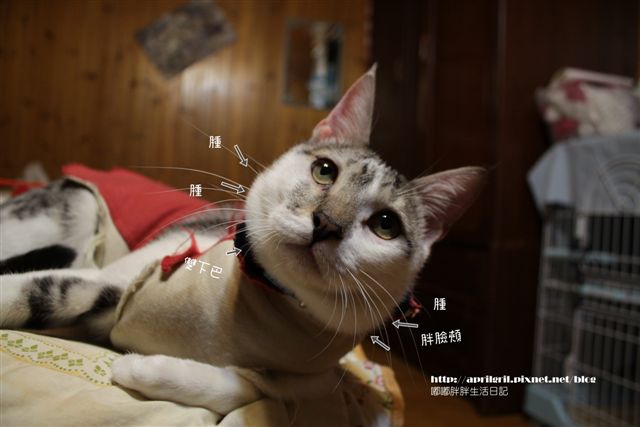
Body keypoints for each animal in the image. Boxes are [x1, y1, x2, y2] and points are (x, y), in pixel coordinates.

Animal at [0, 66, 485, 415]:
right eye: (325, 170)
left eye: (386, 225)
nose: (326, 223)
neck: (265, 301)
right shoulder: (117, 278)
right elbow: (34, 290)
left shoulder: (307, 381)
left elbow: (242, 390)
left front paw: (142, 368)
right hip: (75, 208)